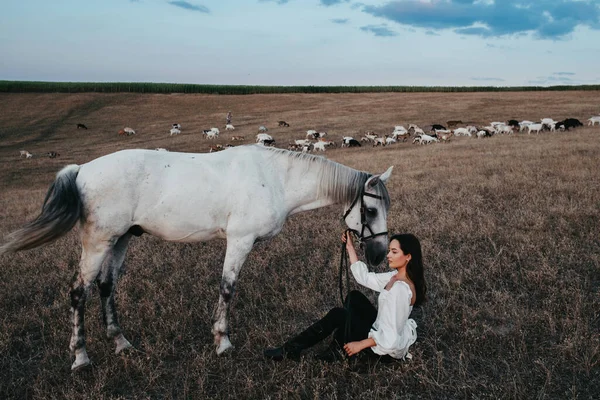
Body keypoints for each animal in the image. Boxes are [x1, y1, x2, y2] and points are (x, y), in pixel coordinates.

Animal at [1, 145, 394, 370]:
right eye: (371, 210)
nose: (378, 255)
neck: (274, 178)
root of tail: (82, 169)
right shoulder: (239, 241)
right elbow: (227, 288)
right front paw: (222, 342)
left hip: (120, 240)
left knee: (106, 286)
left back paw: (121, 343)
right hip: (98, 242)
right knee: (78, 292)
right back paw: (81, 356)